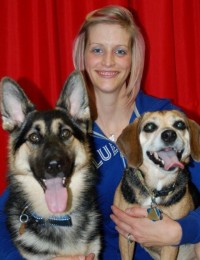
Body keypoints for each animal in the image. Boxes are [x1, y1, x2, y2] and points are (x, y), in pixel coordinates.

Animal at [114, 110, 200, 260]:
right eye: (149, 127)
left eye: (179, 124)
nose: (169, 135)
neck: (155, 189)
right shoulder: (125, 235)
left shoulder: (170, 241)